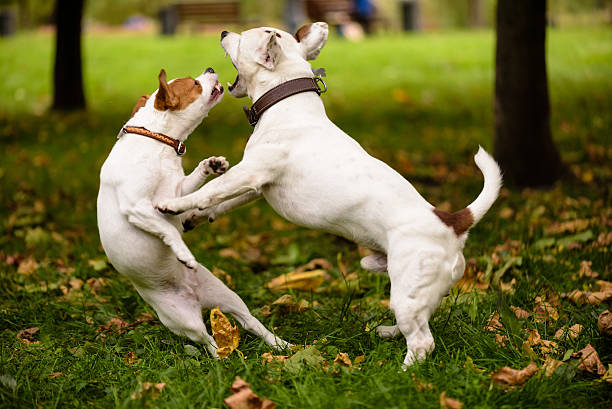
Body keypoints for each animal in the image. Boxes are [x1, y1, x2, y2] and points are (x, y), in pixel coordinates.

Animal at [97, 68, 290, 356]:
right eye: (196, 84)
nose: (210, 69)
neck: (157, 144)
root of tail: (196, 297)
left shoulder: (176, 194)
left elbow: (190, 189)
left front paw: (211, 165)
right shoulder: (137, 206)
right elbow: (168, 231)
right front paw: (184, 254)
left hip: (226, 296)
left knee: (249, 322)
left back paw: (279, 344)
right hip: (183, 320)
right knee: (208, 341)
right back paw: (224, 356)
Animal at [157, 23, 502, 364]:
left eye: (242, 39)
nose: (224, 32)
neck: (287, 102)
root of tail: (453, 222)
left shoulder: (251, 172)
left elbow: (211, 190)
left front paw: (172, 204)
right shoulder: (259, 187)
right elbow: (221, 202)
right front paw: (193, 217)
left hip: (409, 288)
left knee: (421, 342)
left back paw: (406, 370)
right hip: (408, 286)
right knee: (420, 320)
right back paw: (388, 331)